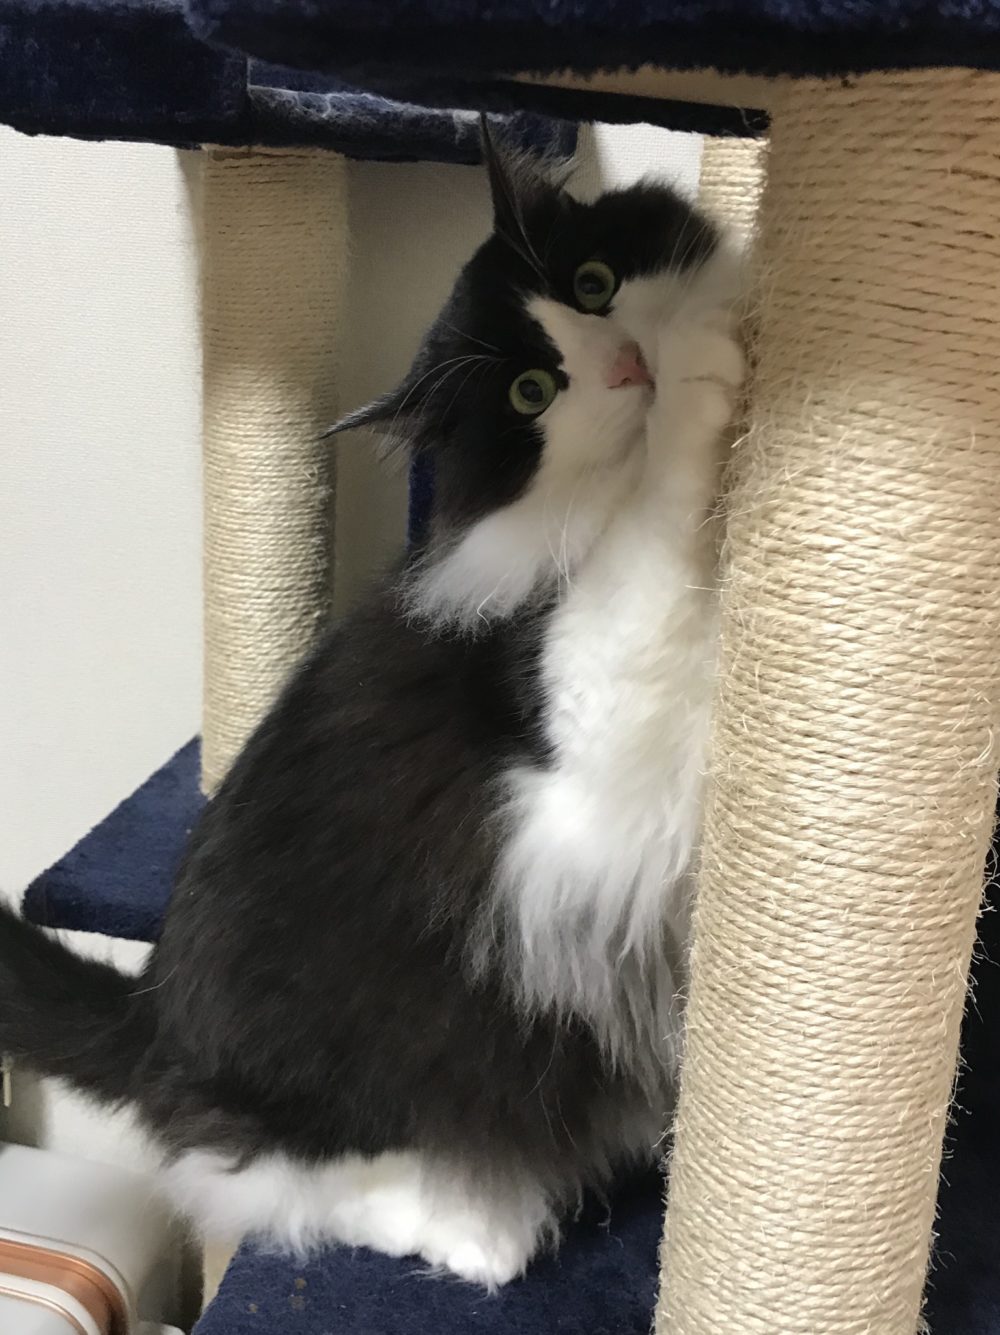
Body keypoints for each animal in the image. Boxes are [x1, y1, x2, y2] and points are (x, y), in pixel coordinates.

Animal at [0, 128, 744, 1289]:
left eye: (593, 283)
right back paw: (478, 1231)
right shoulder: (579, 758)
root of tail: (153, 1017)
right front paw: (694, 393)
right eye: (533, 391)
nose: (630, 365)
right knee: (248, 1175)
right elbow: (652, 547)